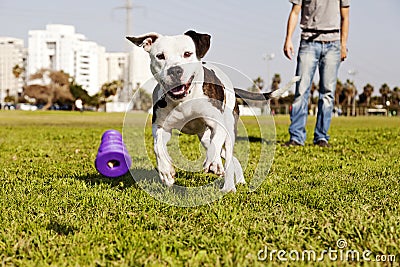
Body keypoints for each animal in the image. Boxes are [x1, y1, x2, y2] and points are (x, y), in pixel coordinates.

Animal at [126, 30, 298, 192]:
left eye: (187, 54)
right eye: (160, 56)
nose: (175, 70)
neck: (184, 99)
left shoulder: (217, 124)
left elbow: (216, 145)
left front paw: (213, 164)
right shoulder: (161, 127)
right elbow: (158, 147)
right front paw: (166, 171)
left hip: (229, 129)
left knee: (226, 153)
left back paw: (228, 185)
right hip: (204, 137)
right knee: (230, 157)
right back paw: (236, 178)